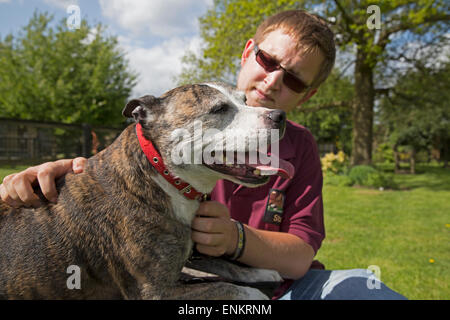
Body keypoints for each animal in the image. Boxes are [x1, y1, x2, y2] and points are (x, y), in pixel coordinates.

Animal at [0, 83, 292, 300]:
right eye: (219, 108)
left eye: (245, 100)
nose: (280, 116)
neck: (163, 174)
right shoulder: (155, 291)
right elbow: (228, 287)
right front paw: (255, 292)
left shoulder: (190, 252)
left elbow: (226, 264)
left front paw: (262, 271)